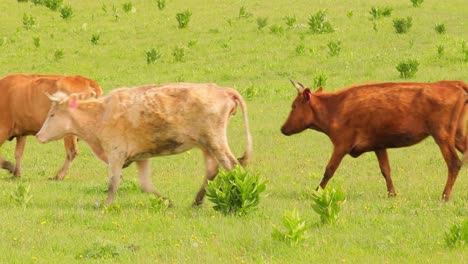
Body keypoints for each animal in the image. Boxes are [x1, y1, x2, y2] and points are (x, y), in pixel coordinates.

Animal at [35, 82, 252, 204]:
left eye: (52, 114)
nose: (38, 135)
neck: (100, 114)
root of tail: (222, 90)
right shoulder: (141, 157)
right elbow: (146, 185)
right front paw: (167, 201)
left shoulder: (115, 154)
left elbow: (113, 183)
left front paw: (106, 205)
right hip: (205, 145)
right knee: (212, 169)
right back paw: (196, 202)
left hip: (215, 141)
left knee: (233, 165)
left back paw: (238, 196)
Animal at [280, 80, 466, 200]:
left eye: (293, 106)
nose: (283, 128)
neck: (335, 107)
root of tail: (453, 84)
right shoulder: (379, 145)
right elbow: (386, 170)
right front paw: (392, 194)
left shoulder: (341, 145)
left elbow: (329, 170)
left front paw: (316, 192)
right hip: (458, 136)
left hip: (442, 136)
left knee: (454, 163)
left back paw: (445, 196)